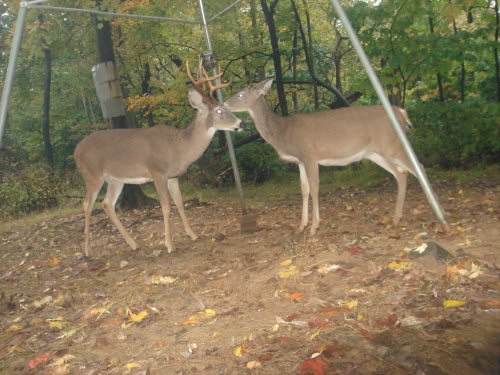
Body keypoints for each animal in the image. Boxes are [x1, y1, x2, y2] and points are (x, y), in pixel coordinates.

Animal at [73, 61, 242, 258]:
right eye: (219, 110)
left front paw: (192, 234)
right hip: (92, 175)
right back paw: (87, 250)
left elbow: (180, 202)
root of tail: (75, 152)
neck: (179, 148)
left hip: (115, 179)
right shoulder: (158, 172)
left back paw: (133, 244)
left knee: (107, 204)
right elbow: (166, 206)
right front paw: (169, 245)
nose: (240, 124)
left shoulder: (173, 176)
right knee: (87, 204)